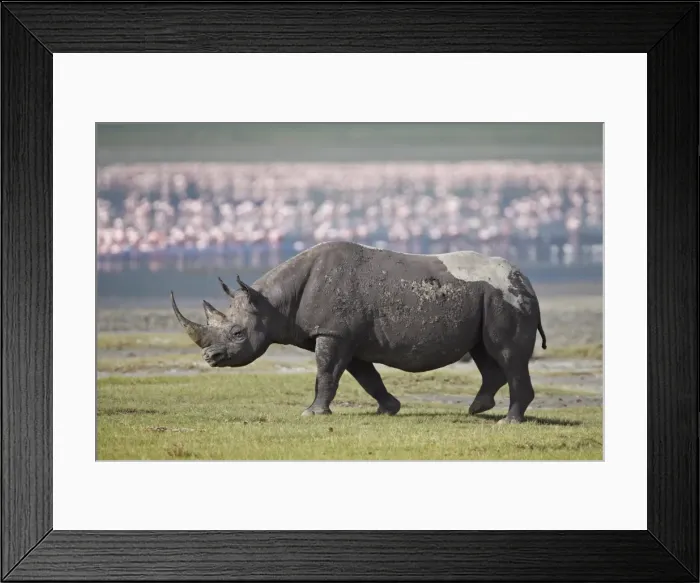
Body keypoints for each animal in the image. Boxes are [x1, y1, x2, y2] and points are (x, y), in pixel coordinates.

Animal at [171, 241, 547, 424]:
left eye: (237, 333)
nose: (210, 357)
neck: (273, 302)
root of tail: (526, 279)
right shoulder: (346, 335)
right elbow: (365, 377)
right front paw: (389, 409)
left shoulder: (334, 333)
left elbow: (326, 373)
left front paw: (312, 414)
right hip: (489, 298)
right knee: (485, 351)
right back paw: (477, 409)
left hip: (505, 297)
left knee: (508, 354)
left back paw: (508, 422)